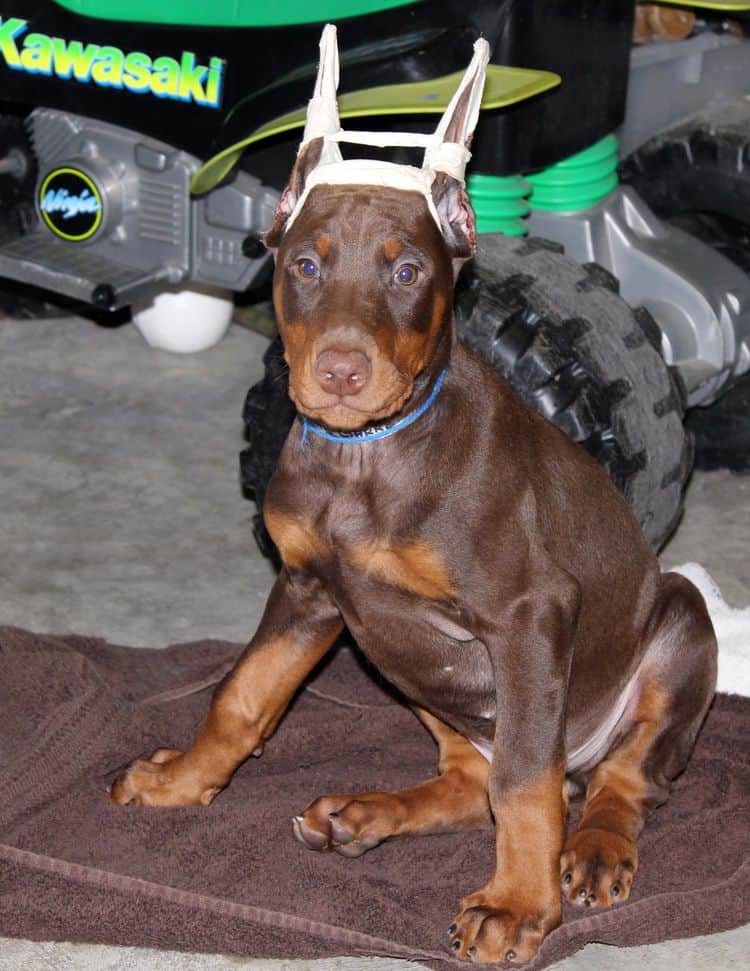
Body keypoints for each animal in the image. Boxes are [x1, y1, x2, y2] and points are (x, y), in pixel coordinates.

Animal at [110, 121, 716, 964]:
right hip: (407, 666)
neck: (366, 455)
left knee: (622, 778)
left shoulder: (528, 614)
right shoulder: (308, 588)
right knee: (471, 781)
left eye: (406, 271)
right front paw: (181, 780)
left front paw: (516, 904)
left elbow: (524, 779)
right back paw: (364, 814)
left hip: (679, 622)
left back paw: (593, 847)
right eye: (305, 265)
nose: (340, 369)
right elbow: (243, 694)